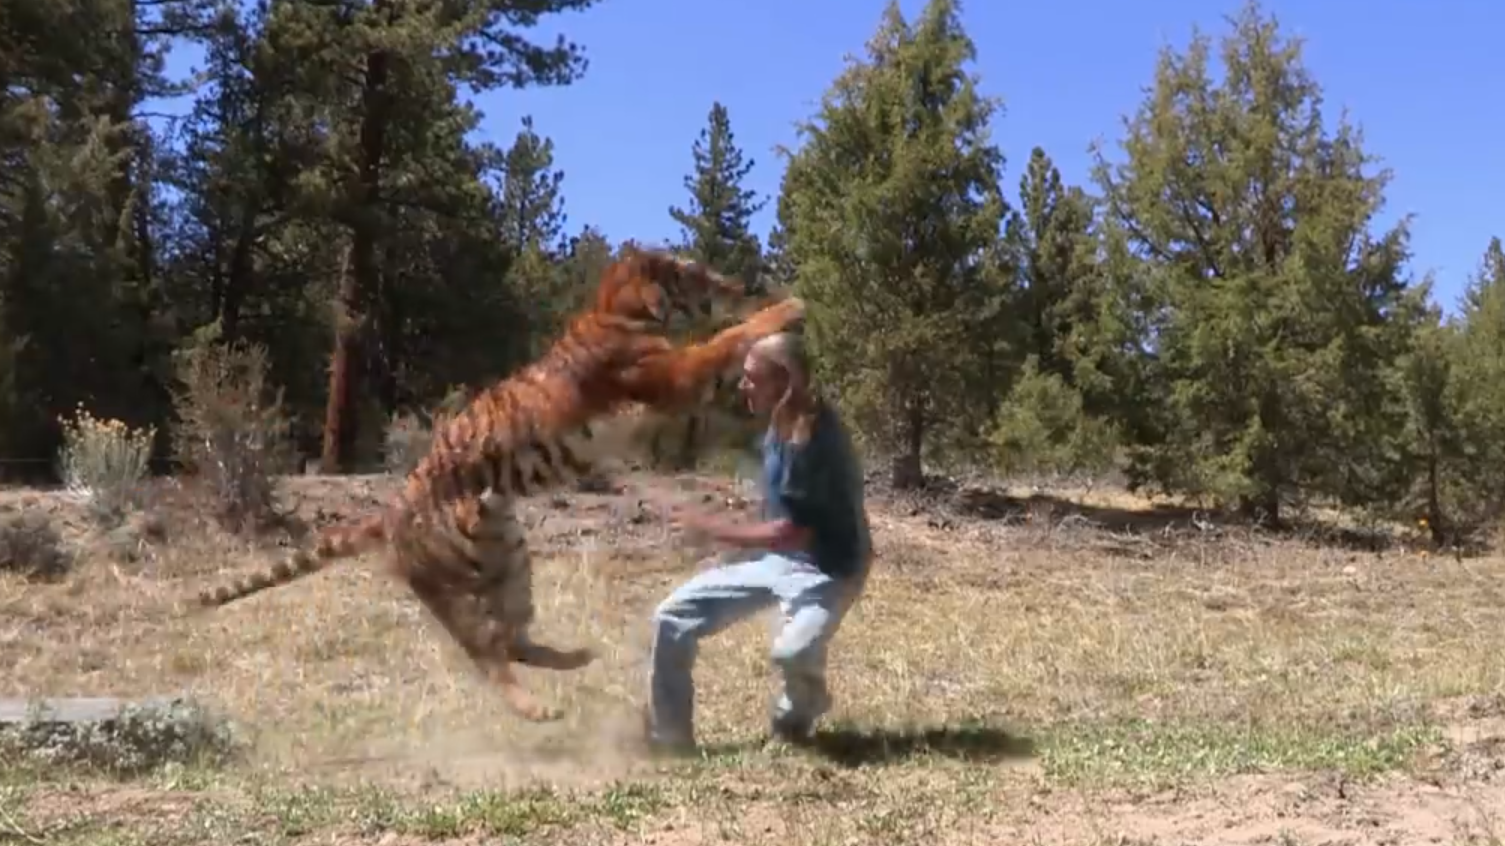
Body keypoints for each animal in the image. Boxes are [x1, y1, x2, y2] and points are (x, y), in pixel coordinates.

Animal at [192, 246, 806, 722]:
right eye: (696, 274)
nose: (739, 282)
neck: (624, 308)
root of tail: (388, 512)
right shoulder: (671, 376)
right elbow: (725, 339)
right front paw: (788, 307)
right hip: (459, 591)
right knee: (487, 657)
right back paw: (538, 708)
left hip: (511, 564)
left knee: (515, 643)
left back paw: (576, 658)